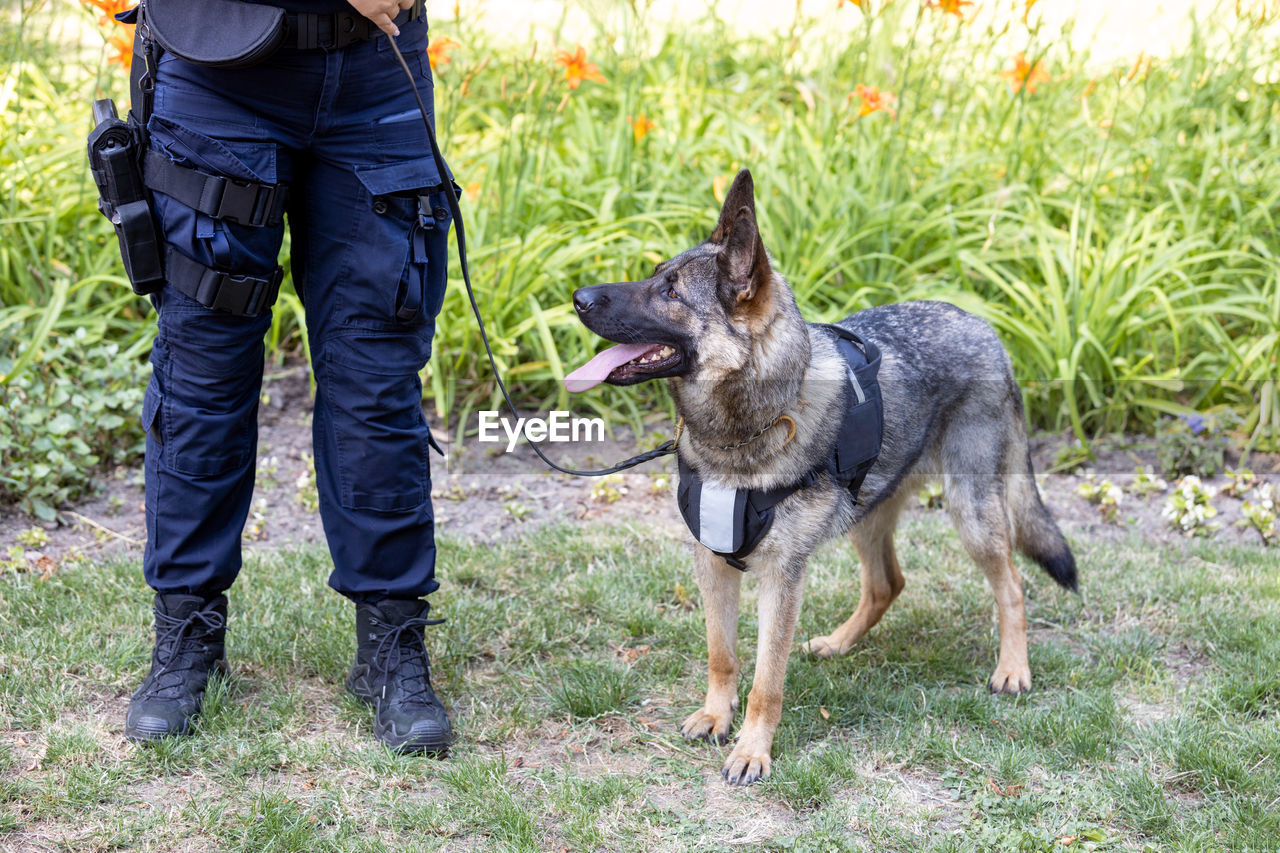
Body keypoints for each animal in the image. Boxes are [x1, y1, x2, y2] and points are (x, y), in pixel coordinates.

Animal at [565, 169, 1075, 778]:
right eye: (654, 274)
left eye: (671, 291)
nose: (577, 297)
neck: (747, 429)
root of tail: (984, 328)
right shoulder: (712, 563)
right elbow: (721, 654)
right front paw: (715, 716)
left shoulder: (781, 577)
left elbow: (766, 680)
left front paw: (752, 749)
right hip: (866, 515)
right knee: (887, 584)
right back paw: (838, 643)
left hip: (971, 512)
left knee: (1012, 584)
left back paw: (1013, 668)